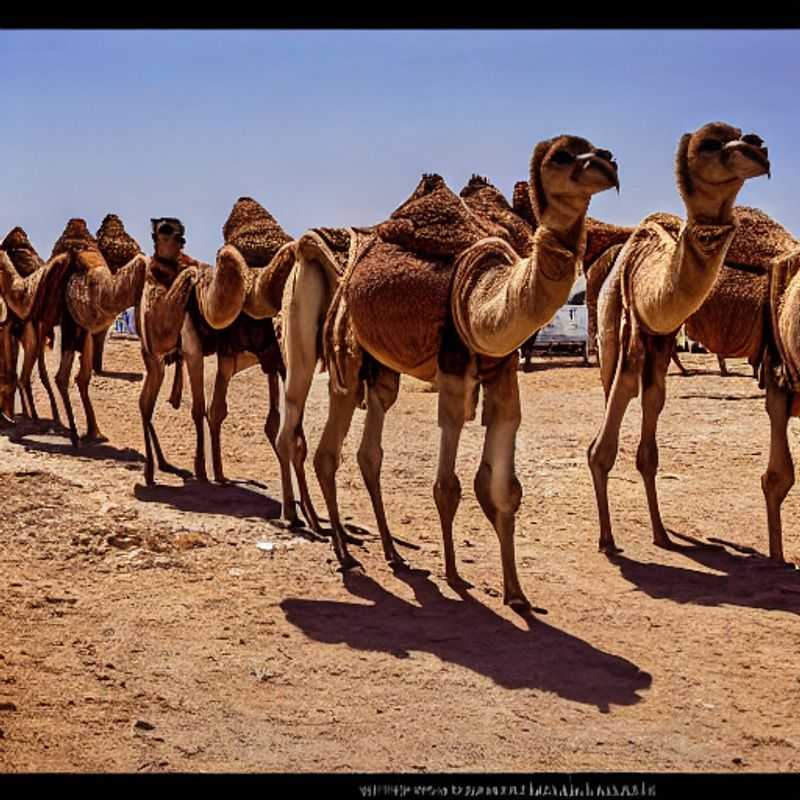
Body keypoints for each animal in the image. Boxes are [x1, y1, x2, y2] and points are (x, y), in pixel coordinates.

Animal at [290, 135, 619, 610]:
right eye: (562, 155)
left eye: (597, 150)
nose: (609, 166)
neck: (480, 296)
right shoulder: (453, 369)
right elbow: (447, 486)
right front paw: (454, 574)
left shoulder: (502, 371)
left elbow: (504, 489)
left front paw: (516, 592)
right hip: (338, 350)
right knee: (325, 447)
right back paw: (345, 553)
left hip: (381, 369)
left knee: (370, 451)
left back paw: (392, 552)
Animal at [586, 121, 771, 555]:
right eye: (710, 145)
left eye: (745, 135)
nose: (758, 148)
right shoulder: (631, 336)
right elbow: (601, 450)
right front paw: (607, 539)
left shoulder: (661, 341)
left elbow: (649, 448)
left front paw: (661, 533)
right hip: (606, 343)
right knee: (604, 416)